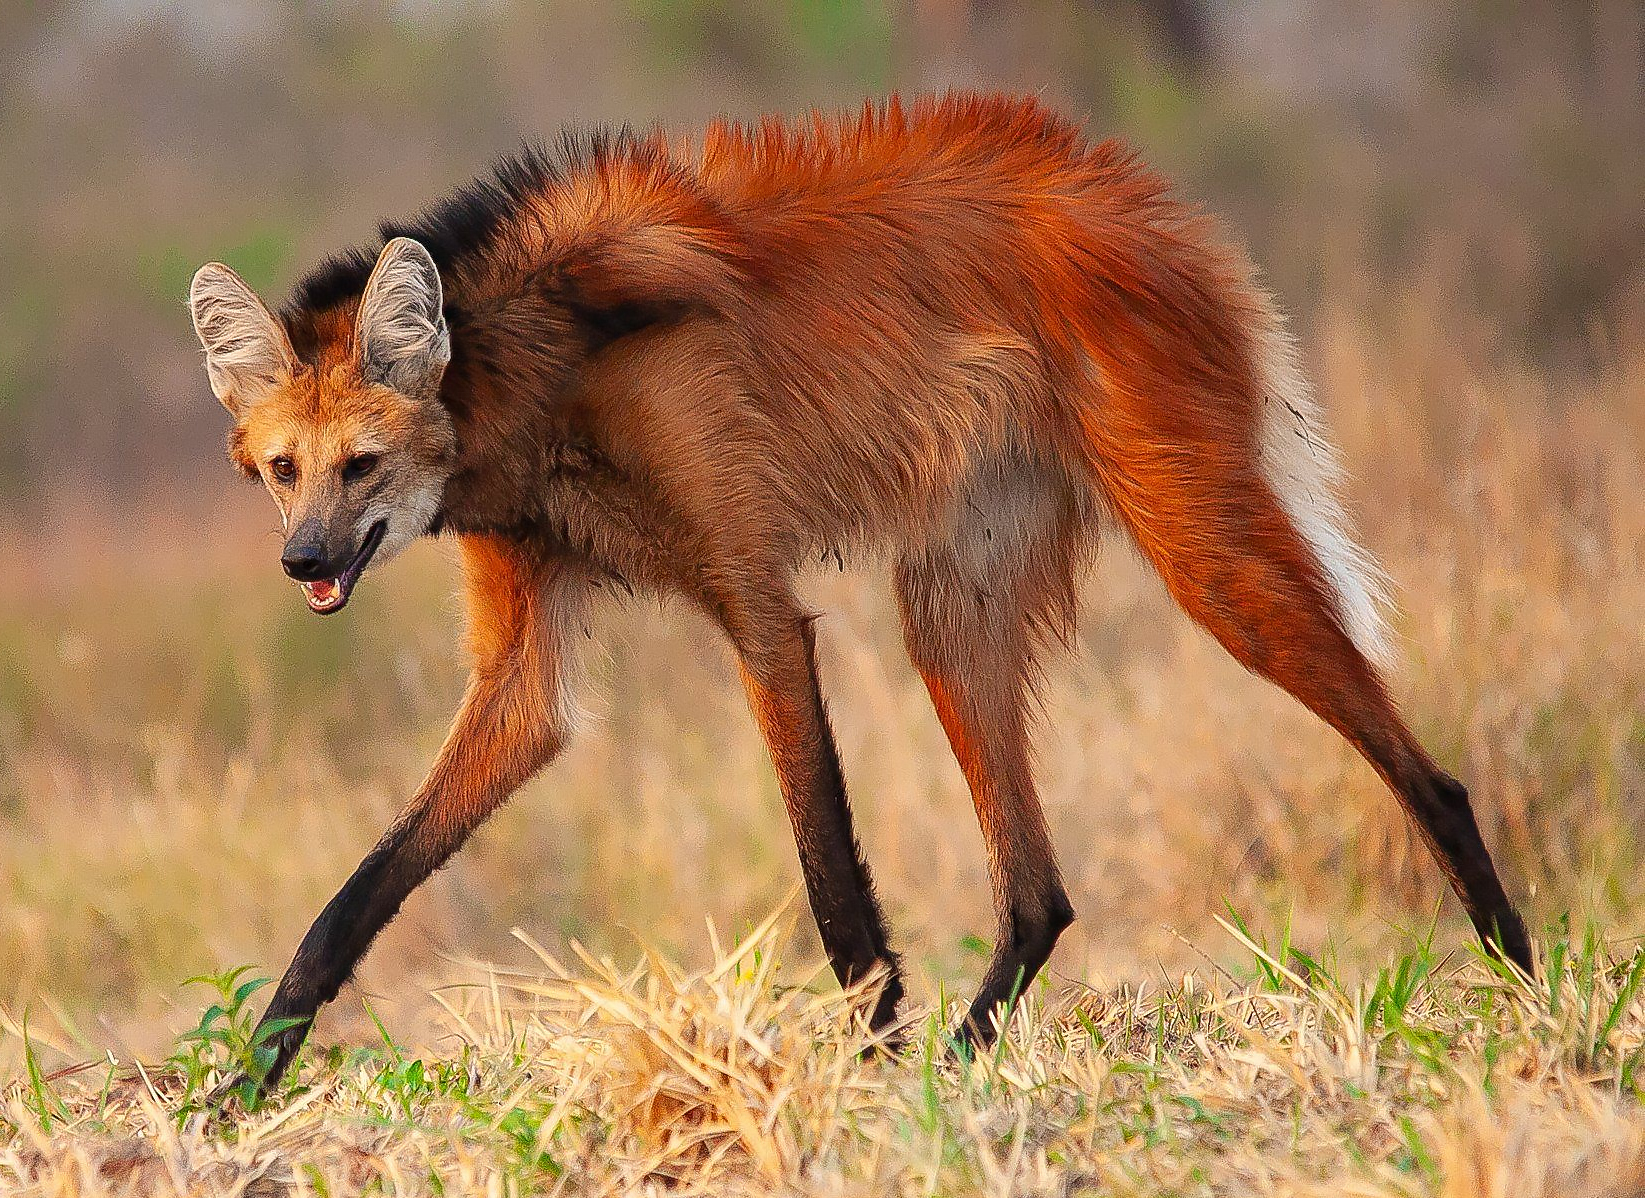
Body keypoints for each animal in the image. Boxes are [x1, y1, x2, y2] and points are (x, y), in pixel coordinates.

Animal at [187, 93, 1531, 1099]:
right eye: (282, 471)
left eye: (362, 465)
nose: (305, 561)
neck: (536, 377)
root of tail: (1138, 193)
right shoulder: (528, 659)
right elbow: (363, 887)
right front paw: (244, 1083)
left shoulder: (756, 601)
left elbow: (827, 864)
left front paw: (869, 1066)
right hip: (953, 603)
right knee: (1036, 892)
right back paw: (961, 1067)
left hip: (1201, 549)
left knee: (1425, 771)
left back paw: (1521, 988)